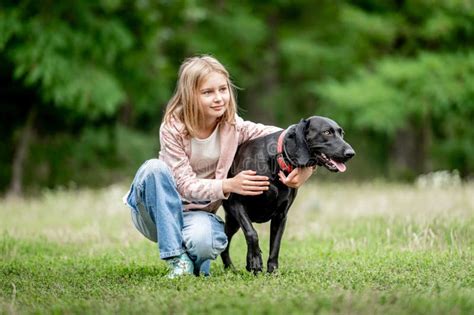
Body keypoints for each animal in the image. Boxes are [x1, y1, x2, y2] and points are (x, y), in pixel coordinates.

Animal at [222, 115, 356, 274]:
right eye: (327, 132)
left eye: (342, 133)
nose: (351, 153)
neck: (276, 161)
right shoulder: (237, 204)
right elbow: (252, 233)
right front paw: (255, 260)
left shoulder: (281, 215)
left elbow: (275, 245)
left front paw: (272, 271)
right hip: (233, 219)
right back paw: (231, 267)